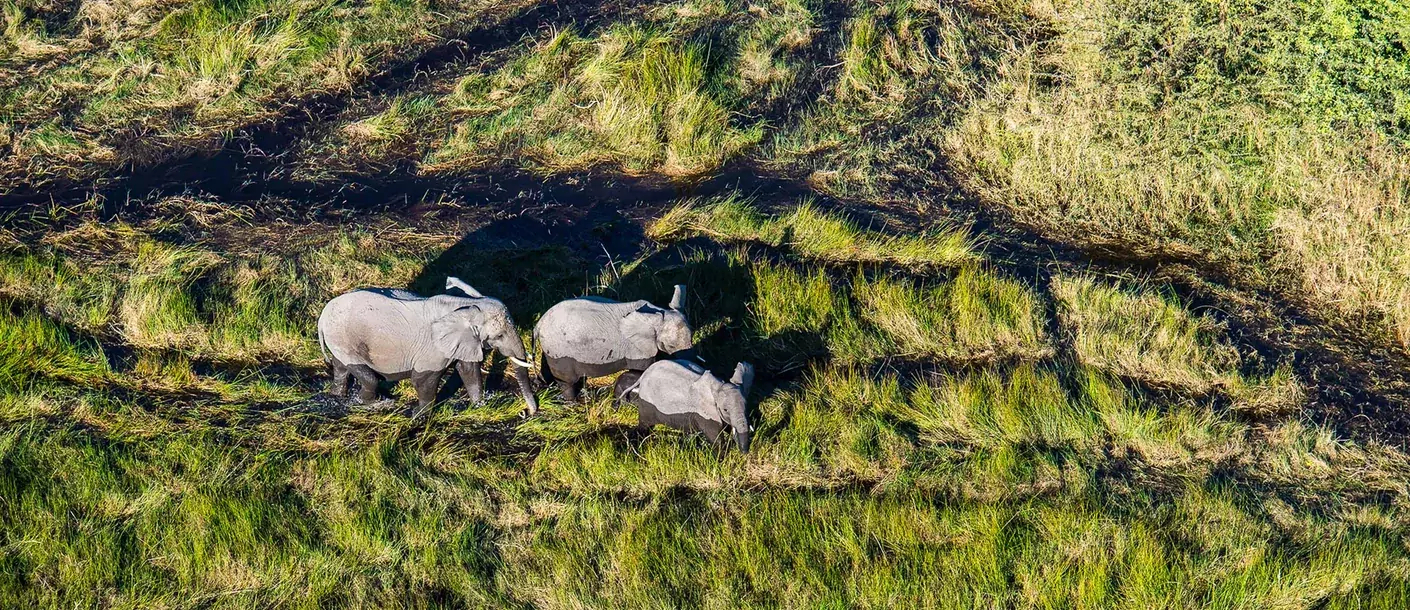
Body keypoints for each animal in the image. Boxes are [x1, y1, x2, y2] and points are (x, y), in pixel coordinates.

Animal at [320, 277, 538, 414]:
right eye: (499, 335)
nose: (529, 412)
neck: (466, 305)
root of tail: (322, 317)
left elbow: (468, 371)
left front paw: (479, 406)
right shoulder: (432, 348)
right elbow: (423, 379)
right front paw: (419, 414)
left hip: (338, 339)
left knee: (340, 367)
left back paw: (338, 395)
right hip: (343, 338)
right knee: (366, 375)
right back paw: (376, 402)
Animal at [532, 284, 693, 402]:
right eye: (670, 346)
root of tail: (539, 323)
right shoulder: (636, 349)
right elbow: (642, 369)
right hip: (558, 350)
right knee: (567, 381)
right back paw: (573, 402)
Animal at [611, 359, 755, 447]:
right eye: (725, 410)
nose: (744, 453)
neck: (718, 386)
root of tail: (643, 374)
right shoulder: (704, 413)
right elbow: (714, 436)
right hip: (647, 401)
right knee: (645, 423)